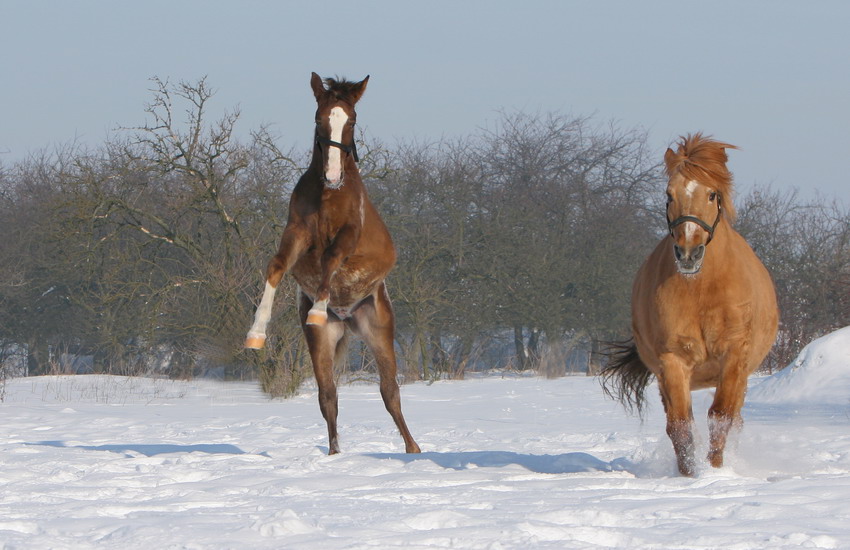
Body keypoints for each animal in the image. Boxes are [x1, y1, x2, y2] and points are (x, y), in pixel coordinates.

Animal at [243, 73, 420, 458]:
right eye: (318, 118)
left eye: (351, 120)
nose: (333, 174)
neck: (328, 196)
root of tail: (347, 318)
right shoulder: (297, 233)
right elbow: (277, 266)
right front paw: (256, 332)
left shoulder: (349, 236)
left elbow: (332, 258)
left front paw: (318, 308)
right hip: (322, 342)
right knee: (329, 396)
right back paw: (335, 454)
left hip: (379, 332)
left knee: (390, 392)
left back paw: (414, 449)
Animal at [604, 135, 776, 478]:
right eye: (669, 195)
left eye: (712, 194)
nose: (688, 253)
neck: (702, 290)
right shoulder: (672, 361)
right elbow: (681, 426)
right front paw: (689, 476)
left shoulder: (733, 356)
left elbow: (721, 417)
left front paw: (715, 471)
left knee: (735, 419)